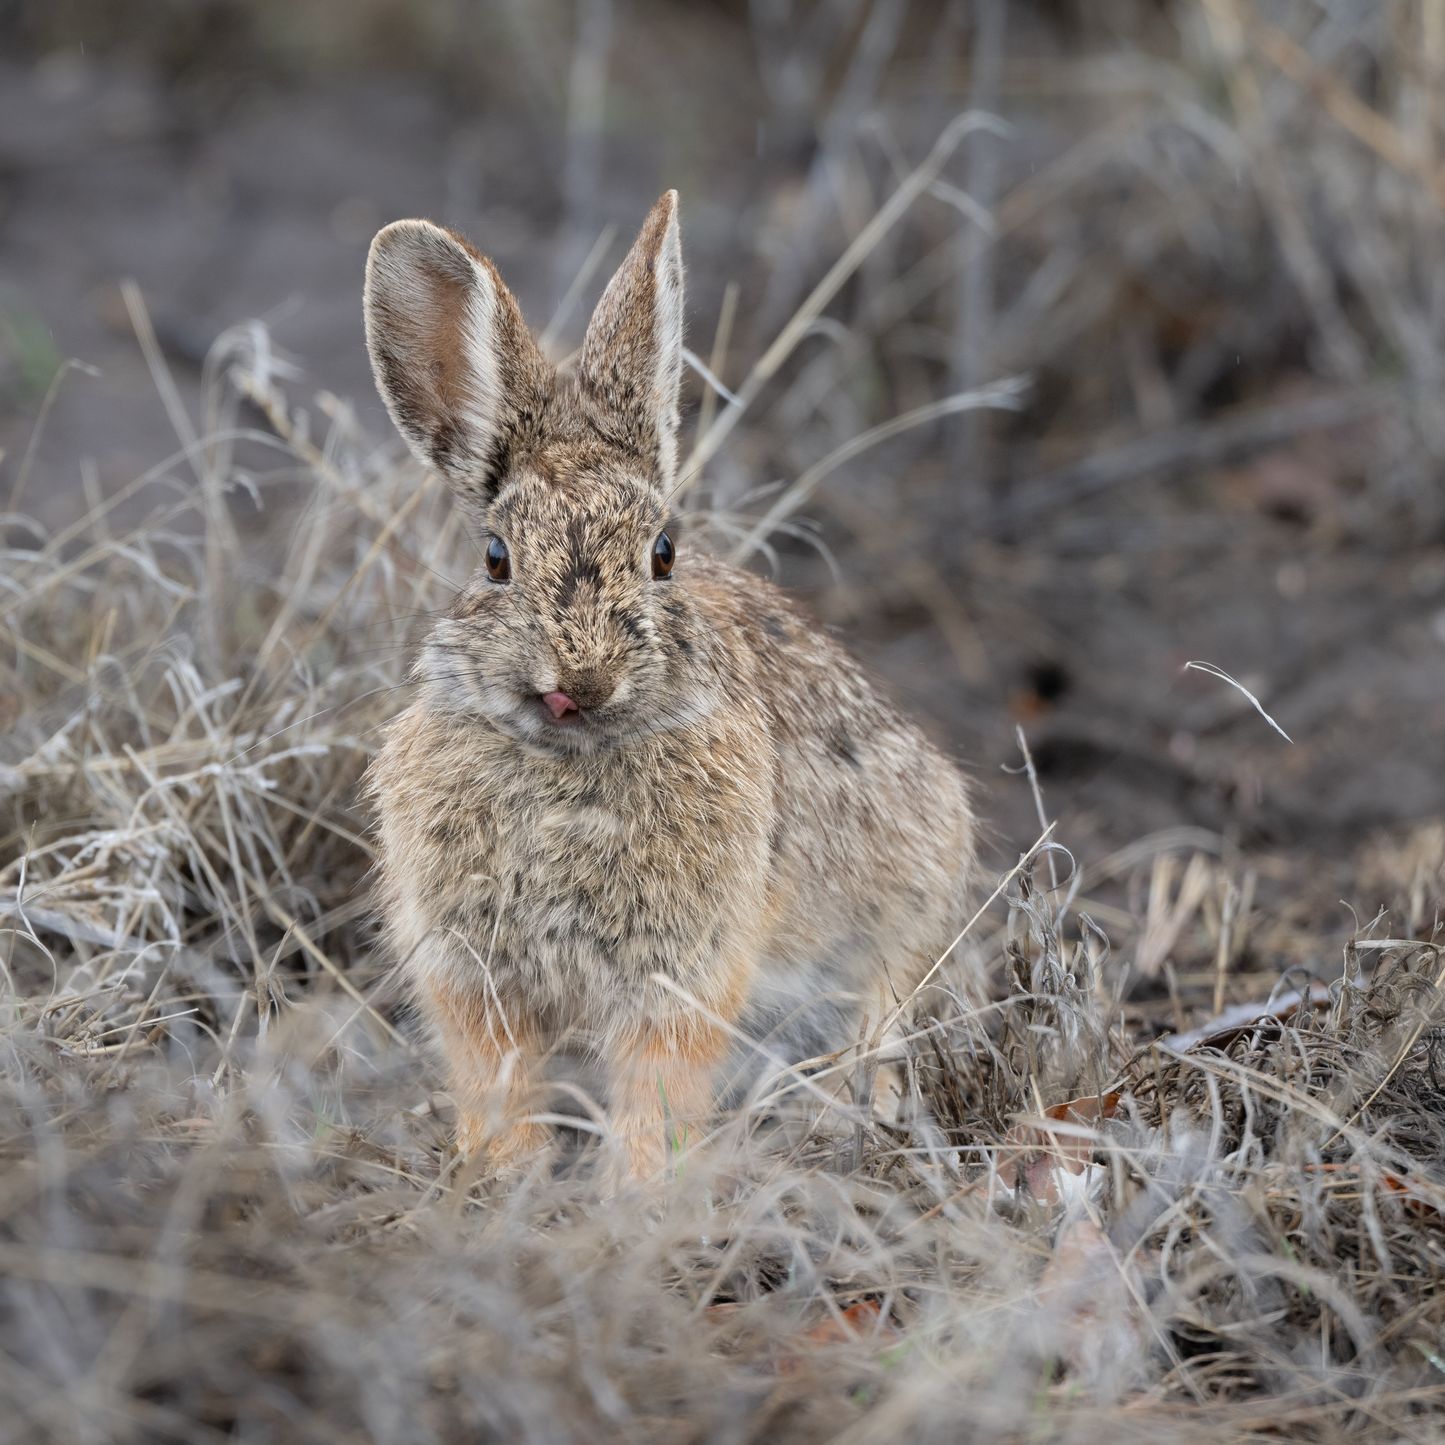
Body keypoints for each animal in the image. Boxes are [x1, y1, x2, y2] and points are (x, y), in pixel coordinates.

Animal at [363, 191, 977, 1179]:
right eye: (495, 558)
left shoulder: (683, 970)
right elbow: (498, 1074)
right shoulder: (469, 969)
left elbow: (660, 1080)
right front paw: (505, 1175)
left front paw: (640, 1190)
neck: (568, 763)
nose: (579, 679)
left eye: (662, 553)